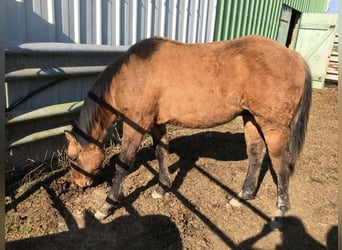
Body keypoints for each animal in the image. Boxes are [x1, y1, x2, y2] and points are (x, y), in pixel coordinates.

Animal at [65, 35, 312, 221]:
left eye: (74, 158)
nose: (78, 184)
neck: (132, 74)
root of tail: (294, 56)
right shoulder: (157, 123)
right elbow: (161, 153)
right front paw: (162, 188)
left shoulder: (136, 123)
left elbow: (123, 163)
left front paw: (106, 205)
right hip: (251, 118)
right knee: (256, 155)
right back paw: (242, 196)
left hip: (273, 125)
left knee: (280, 164)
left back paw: (280, 211)